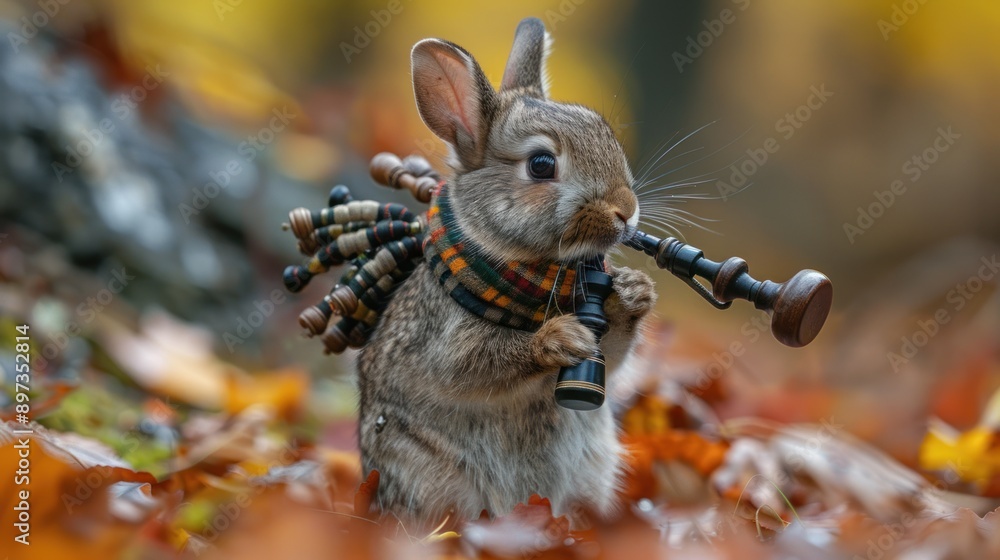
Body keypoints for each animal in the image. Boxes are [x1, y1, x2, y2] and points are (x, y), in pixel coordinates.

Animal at [356, 17, 656, 528]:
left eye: (607, 134)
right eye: (541, 164)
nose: (625, 210)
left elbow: (613, 353)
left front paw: (635, 293)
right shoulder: (446, 343)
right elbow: (476, 367)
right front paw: (558, 339)